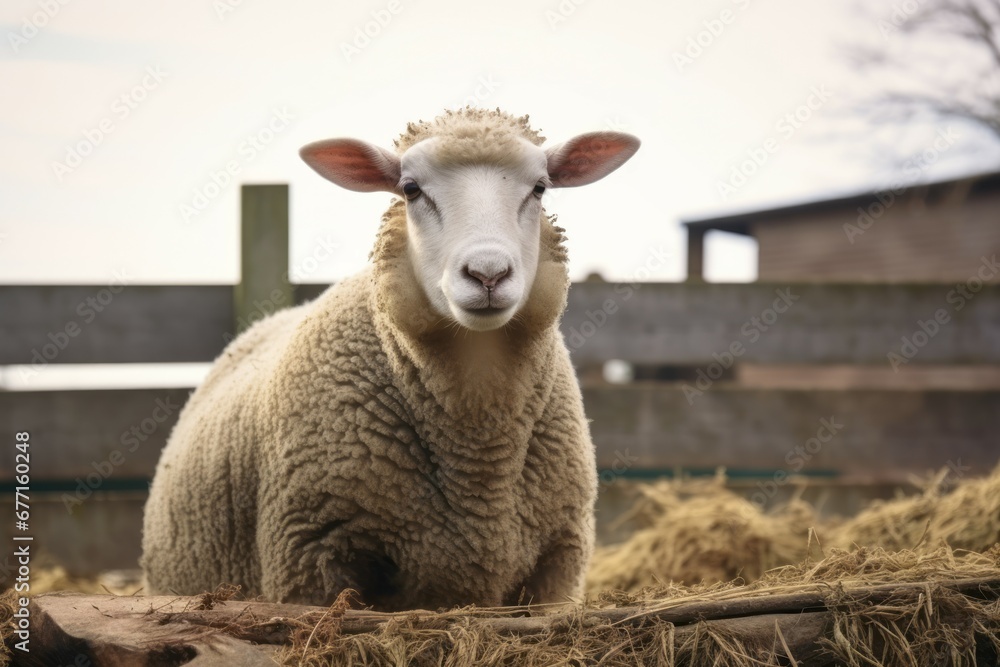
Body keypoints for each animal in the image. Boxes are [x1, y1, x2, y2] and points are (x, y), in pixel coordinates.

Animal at [141, 108, 640, 610]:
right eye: (411, 189)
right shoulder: (313, 554)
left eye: (539, 188)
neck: (482, 453)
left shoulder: (558, 562)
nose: (487, 274)